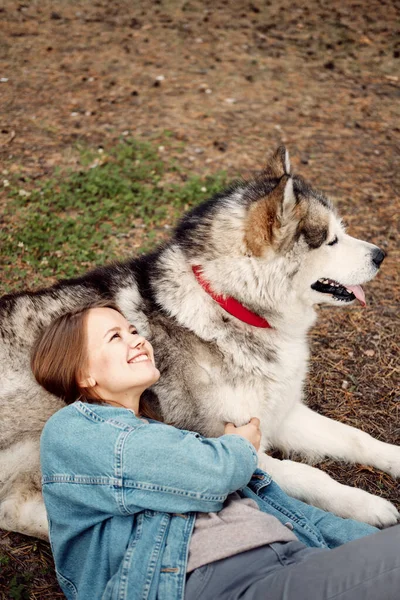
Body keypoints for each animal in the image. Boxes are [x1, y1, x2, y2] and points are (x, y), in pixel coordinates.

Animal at [0, 146, 400, 540]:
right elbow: (311, 474)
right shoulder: (225, 442)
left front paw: (393, 457)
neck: (230, 305)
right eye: (330, 239)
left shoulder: (281, 413)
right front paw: (368, 506)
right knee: (18, 508)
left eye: (341, 231)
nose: (381, 254)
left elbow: (355, 438)